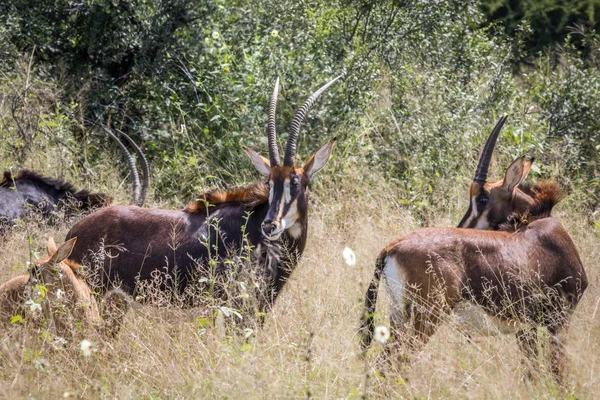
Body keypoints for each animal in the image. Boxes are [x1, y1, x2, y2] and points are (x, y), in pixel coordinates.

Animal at [360, 119, 584, 384]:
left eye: (484, 199)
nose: (461, 227)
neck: (544, 230)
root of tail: (391, 247)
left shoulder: (525, 328)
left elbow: (531, 372)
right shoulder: (559, 322)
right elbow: (559, 374)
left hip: (399, 318)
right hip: (423, 320)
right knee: (391, 365)